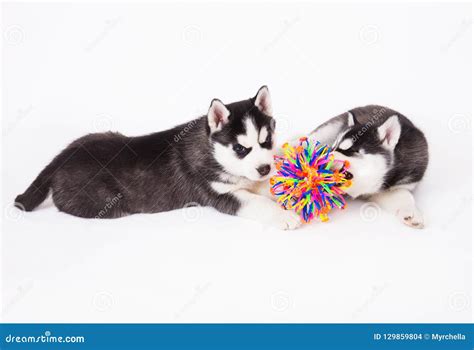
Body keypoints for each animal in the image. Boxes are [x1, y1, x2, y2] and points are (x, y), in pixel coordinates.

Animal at [16, 87, 302, 230]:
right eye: (240, 149)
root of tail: (65, 154)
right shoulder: (218, 193)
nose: (264, 168)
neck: (211, 151)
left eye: (267, 141)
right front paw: (285, 217)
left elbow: (267, 186)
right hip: (101, 200)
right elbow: (257, 202)